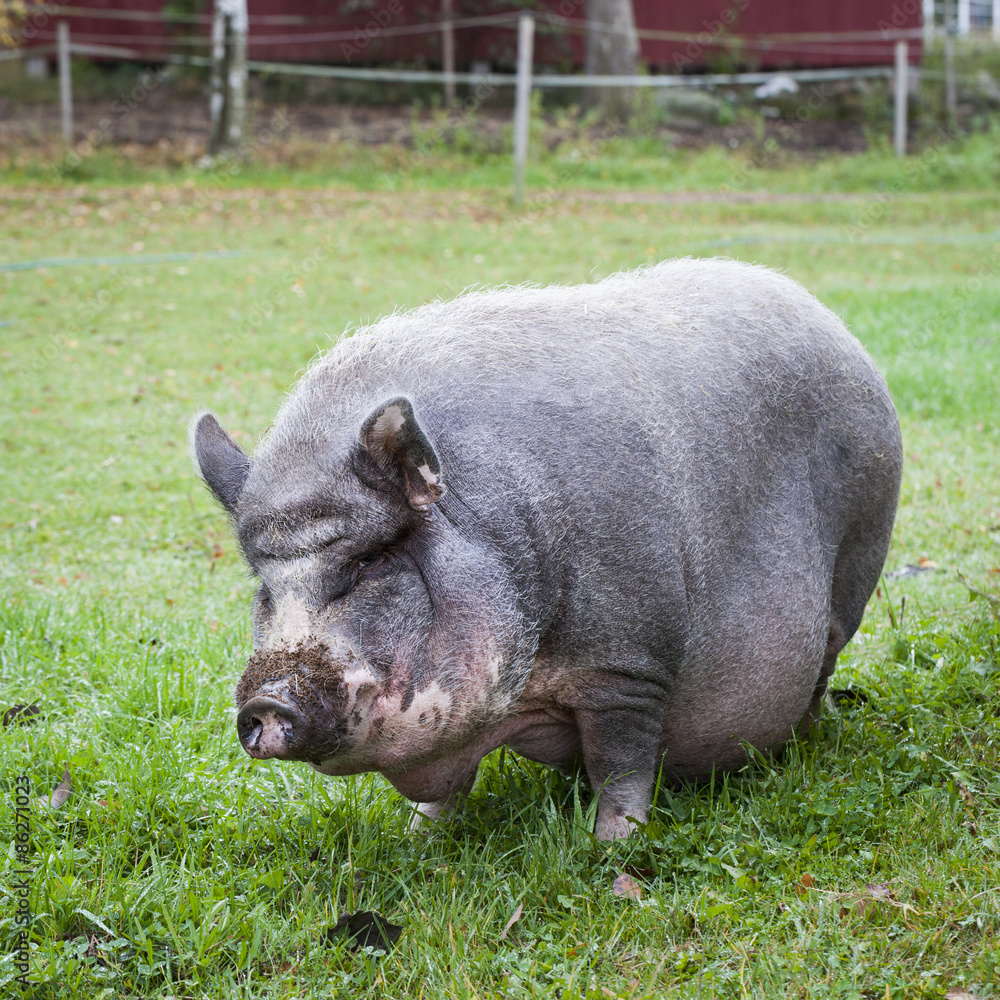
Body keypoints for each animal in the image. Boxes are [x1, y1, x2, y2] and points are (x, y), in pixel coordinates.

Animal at [192, 257, 902, 840]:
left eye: (368, 562)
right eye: (262, 585)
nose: (264, 703)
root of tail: (828, 318)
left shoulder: (629, 664)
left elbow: (622, 765)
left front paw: (614, 847)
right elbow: (449, 793)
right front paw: (421, 836)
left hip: (859, 560)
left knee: (824, 664)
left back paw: (803, 744)